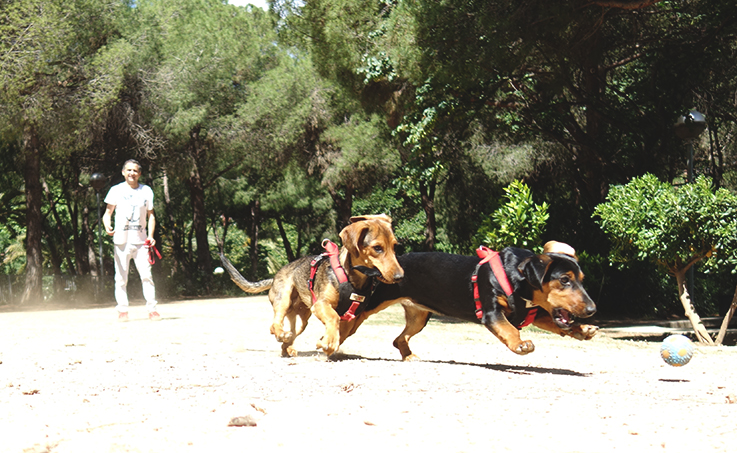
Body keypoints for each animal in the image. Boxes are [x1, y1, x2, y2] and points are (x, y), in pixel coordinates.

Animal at [220, 214, 402, 358]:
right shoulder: (321, 304)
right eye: (377, 248)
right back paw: (281, 334)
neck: (352, 279)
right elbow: (334, 318)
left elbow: (341, 334)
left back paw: (288, 347)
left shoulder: (352, 318)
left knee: (289, 337)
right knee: (274, 326)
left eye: (394, 246)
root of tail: (274, 276)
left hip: (301, 321)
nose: (400, 276)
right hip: (283, 299)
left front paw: (325, 342)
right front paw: (328, 342)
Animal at [340, 240, 600, 360]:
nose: (592, 309)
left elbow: (557, 324)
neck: (517, 277)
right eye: (564, 280)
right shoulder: (492, 312)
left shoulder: (530, 313)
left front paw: (583, 329)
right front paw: (520, 345)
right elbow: (509, 330)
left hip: (419, 317)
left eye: (582, 280)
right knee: (347, 326)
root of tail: (391, 269)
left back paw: (409, 355)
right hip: (368, 307)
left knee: (399, 338)